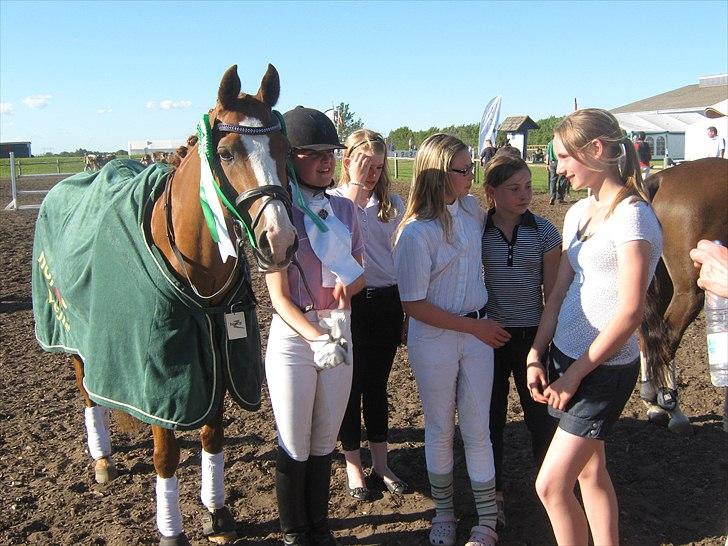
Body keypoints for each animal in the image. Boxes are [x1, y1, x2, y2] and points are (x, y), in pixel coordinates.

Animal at [32, 64, 298, 545]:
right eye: (226, 152)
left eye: (283, 149)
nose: (280, 239)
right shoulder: (160, 378)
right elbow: (165, 456)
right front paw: (171, 531)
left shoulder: (216, 362)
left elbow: (213, 437)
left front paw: (217, 513)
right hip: (74, 343)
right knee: (88, 393)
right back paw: (102, 458)